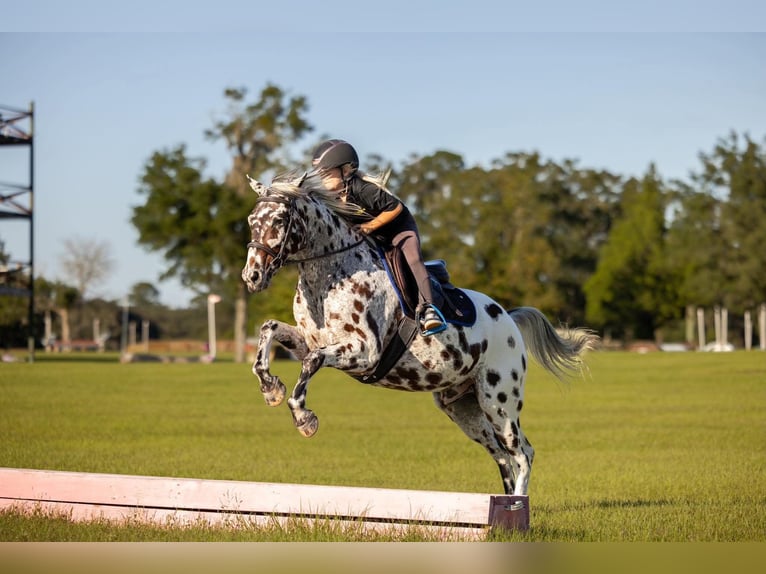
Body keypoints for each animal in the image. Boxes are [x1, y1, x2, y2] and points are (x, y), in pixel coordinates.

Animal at [241, 173, 597, 496]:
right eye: (251, 221)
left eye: (279, 220)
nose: (252, 276)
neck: (329, 275)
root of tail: (508, 317)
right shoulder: (310, 341)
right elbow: (270, 329)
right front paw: (271, 390)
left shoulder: (365, 353)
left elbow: (312, 362)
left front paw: (304, 418)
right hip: (463, 407)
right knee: (501, 455)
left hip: (499, 400)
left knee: (523, 453)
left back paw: (517, 508)